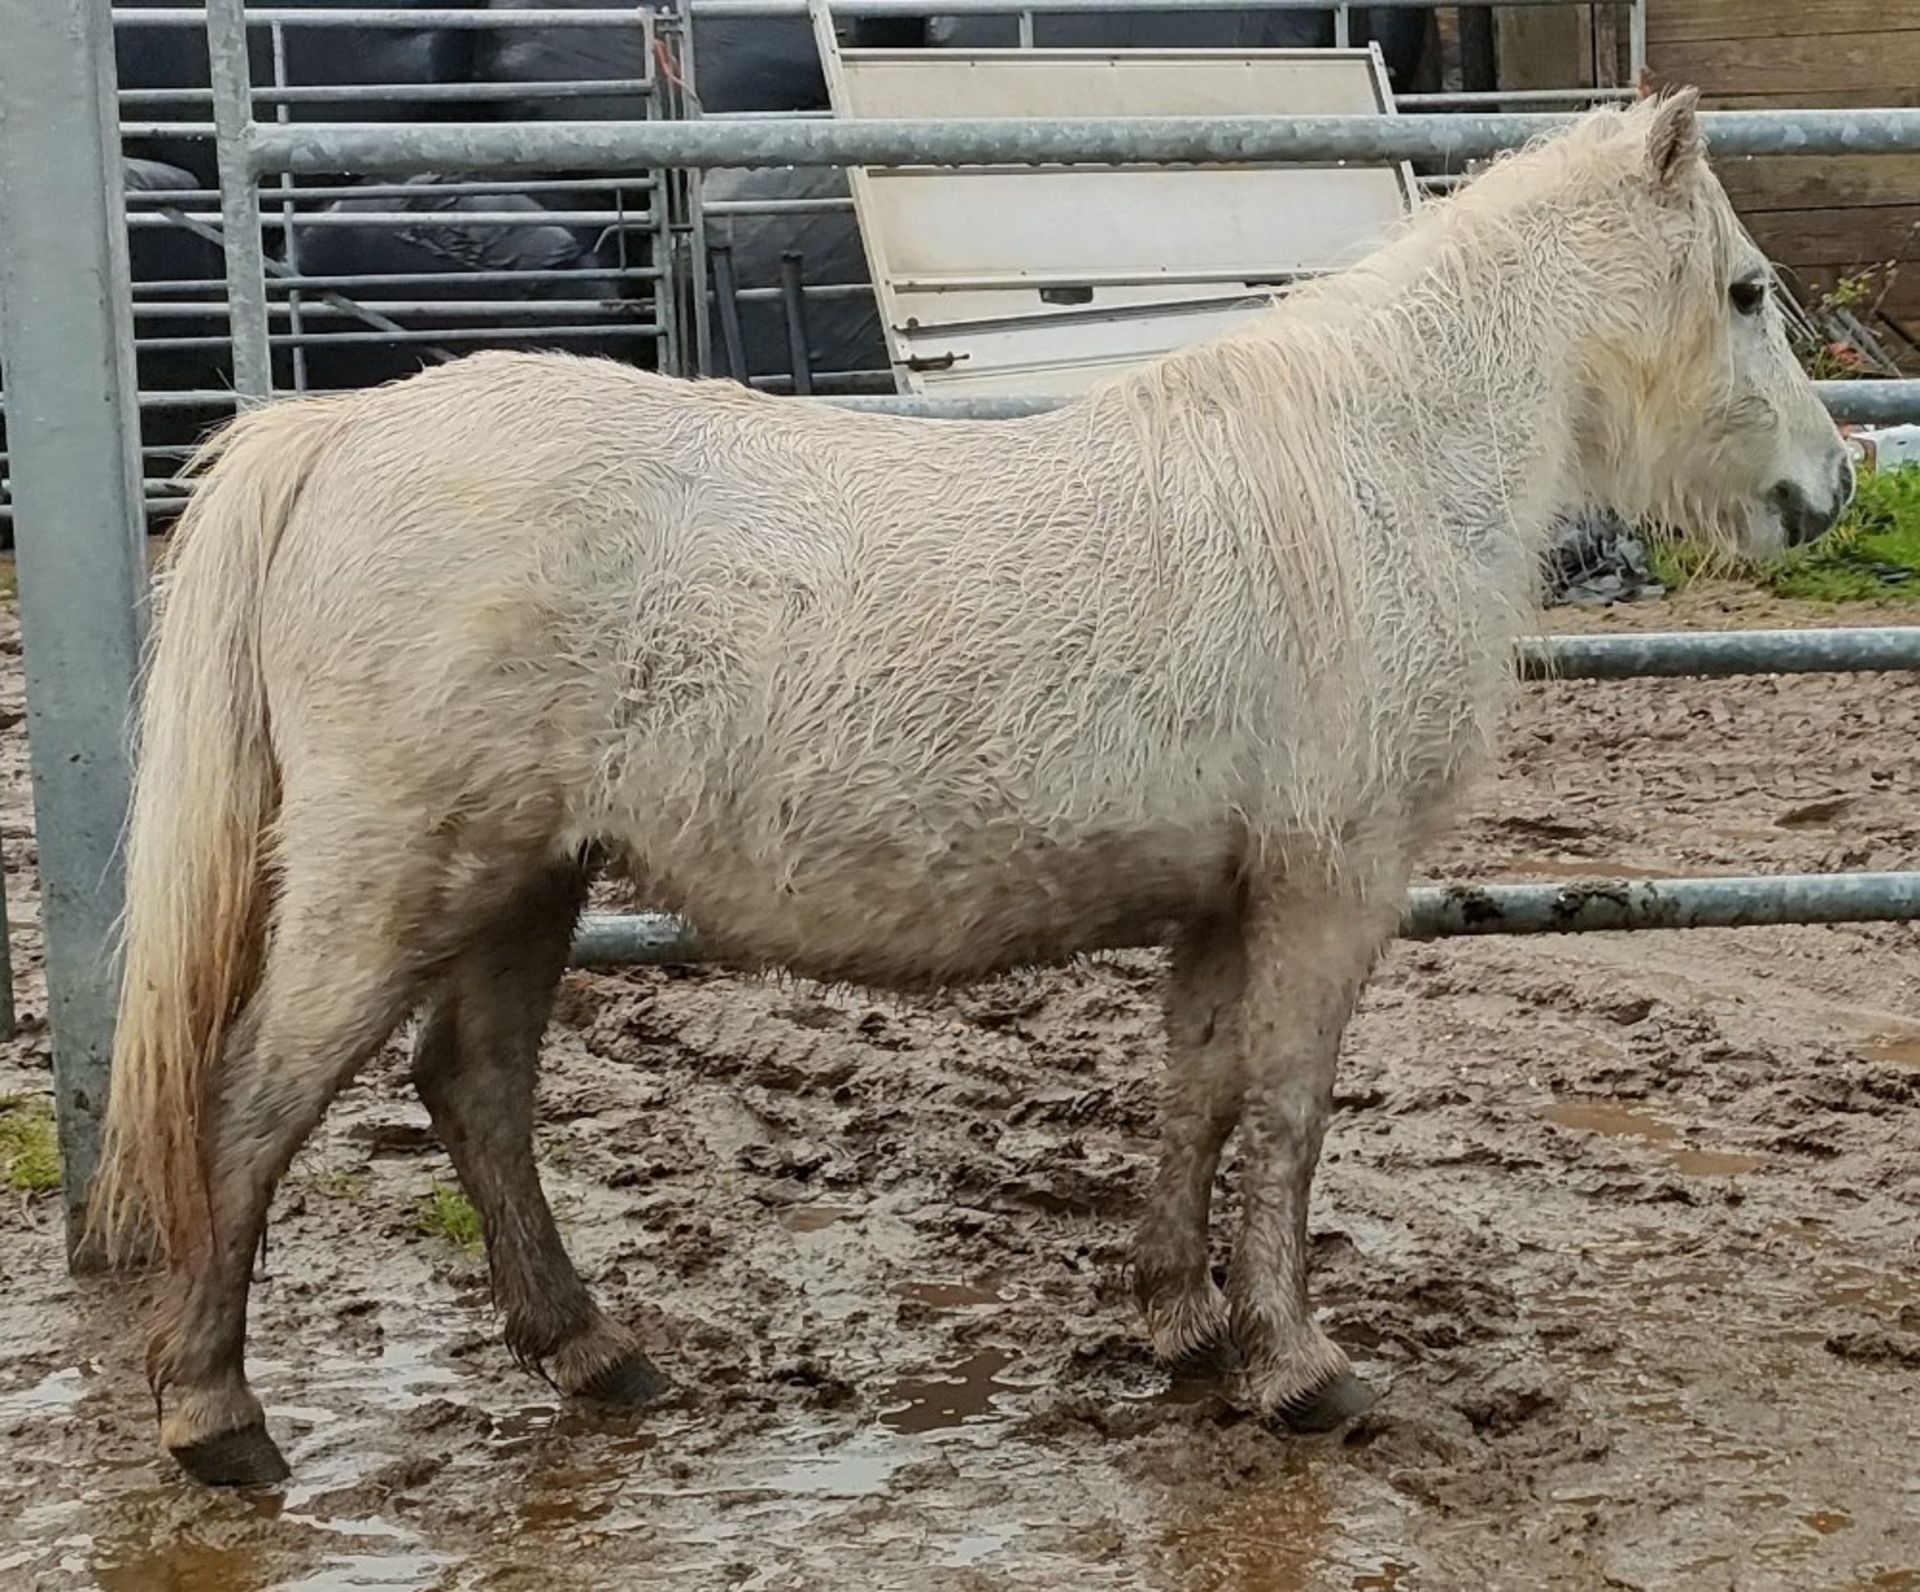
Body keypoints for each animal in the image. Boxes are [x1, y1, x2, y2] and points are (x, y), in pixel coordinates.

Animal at [90, 93, 1843, 1482]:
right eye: (1747, 292)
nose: (1825, 492)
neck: (1374, 470)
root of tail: (337, 434)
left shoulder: (1228, 900)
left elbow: (1200, 1098)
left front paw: (1183, 1328)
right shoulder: (1328, 889)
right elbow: (1287, 1118)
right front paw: (1301, 1371)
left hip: (529, 877)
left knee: (477, 1092)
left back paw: (595, 1354)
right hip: (401, 878)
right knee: (256, 1104)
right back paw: (217, 1420)